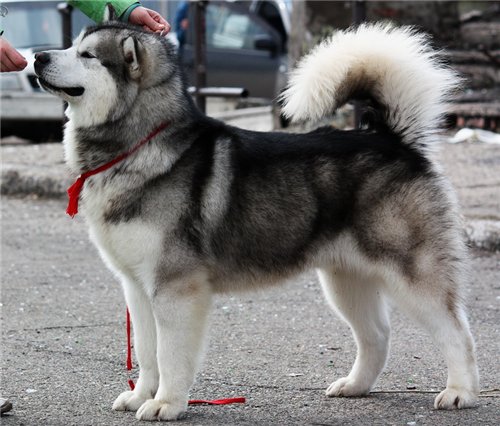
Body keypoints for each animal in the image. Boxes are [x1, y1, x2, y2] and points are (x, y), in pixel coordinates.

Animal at [33, 9, 478, 420]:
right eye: (72, 45)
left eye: (87, 54)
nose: (37, 56)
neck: (139, 145)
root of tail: (393, 140)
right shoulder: (137, 287)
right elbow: (146, 351)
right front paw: (142, 395)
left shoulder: (176, 288)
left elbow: (170, 354)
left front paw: (166, 404)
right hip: (345, 279)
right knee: (378, 335)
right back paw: (355, 385)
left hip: (411, 275)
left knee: (457, 331)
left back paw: (460, 392)